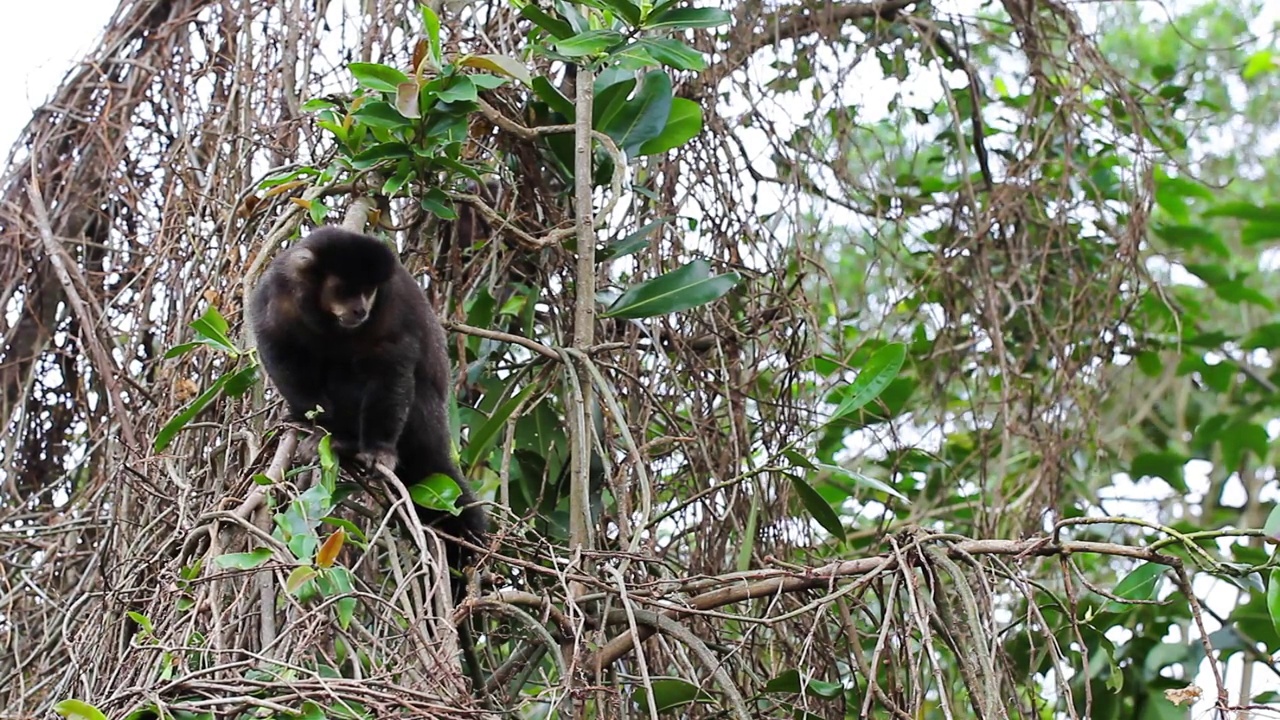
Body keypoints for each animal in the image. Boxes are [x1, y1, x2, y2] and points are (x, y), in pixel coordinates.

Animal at [247, 226, 486, 586]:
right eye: (345, 290)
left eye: (368, 291)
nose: (360, 309)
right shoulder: (278, 295)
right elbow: (278, 348)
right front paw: (313, 421)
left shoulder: (389, 306)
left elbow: (391, 364)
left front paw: (377, 449)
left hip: (424, 424)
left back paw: (346, 442)